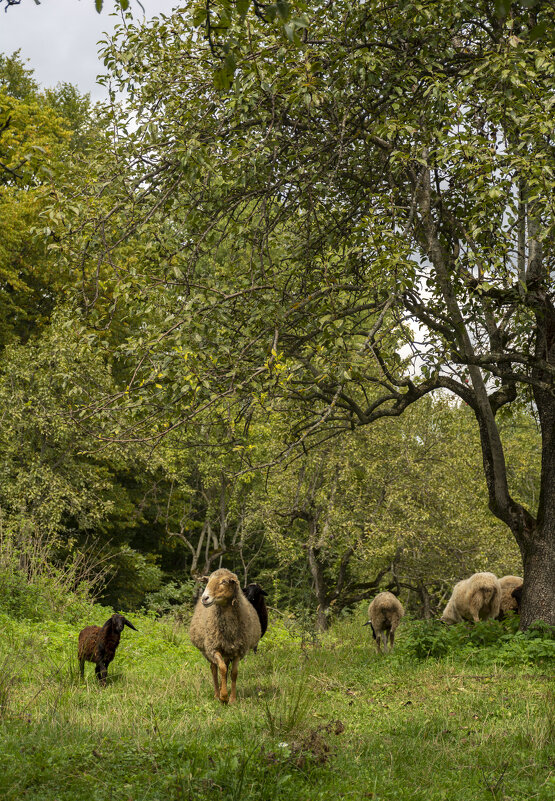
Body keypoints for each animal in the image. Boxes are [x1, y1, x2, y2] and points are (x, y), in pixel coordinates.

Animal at [190, 564, 262, 704]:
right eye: (208, 580)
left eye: (224, 581)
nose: (204, 598)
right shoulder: (214, 648)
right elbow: (222, 669)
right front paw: (223, 697)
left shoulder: (238, 650)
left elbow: (234, 673)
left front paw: (232, 698)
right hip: (207, 650)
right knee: (214, 669)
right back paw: (216, 694)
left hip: (228, 651)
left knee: (226, 667)